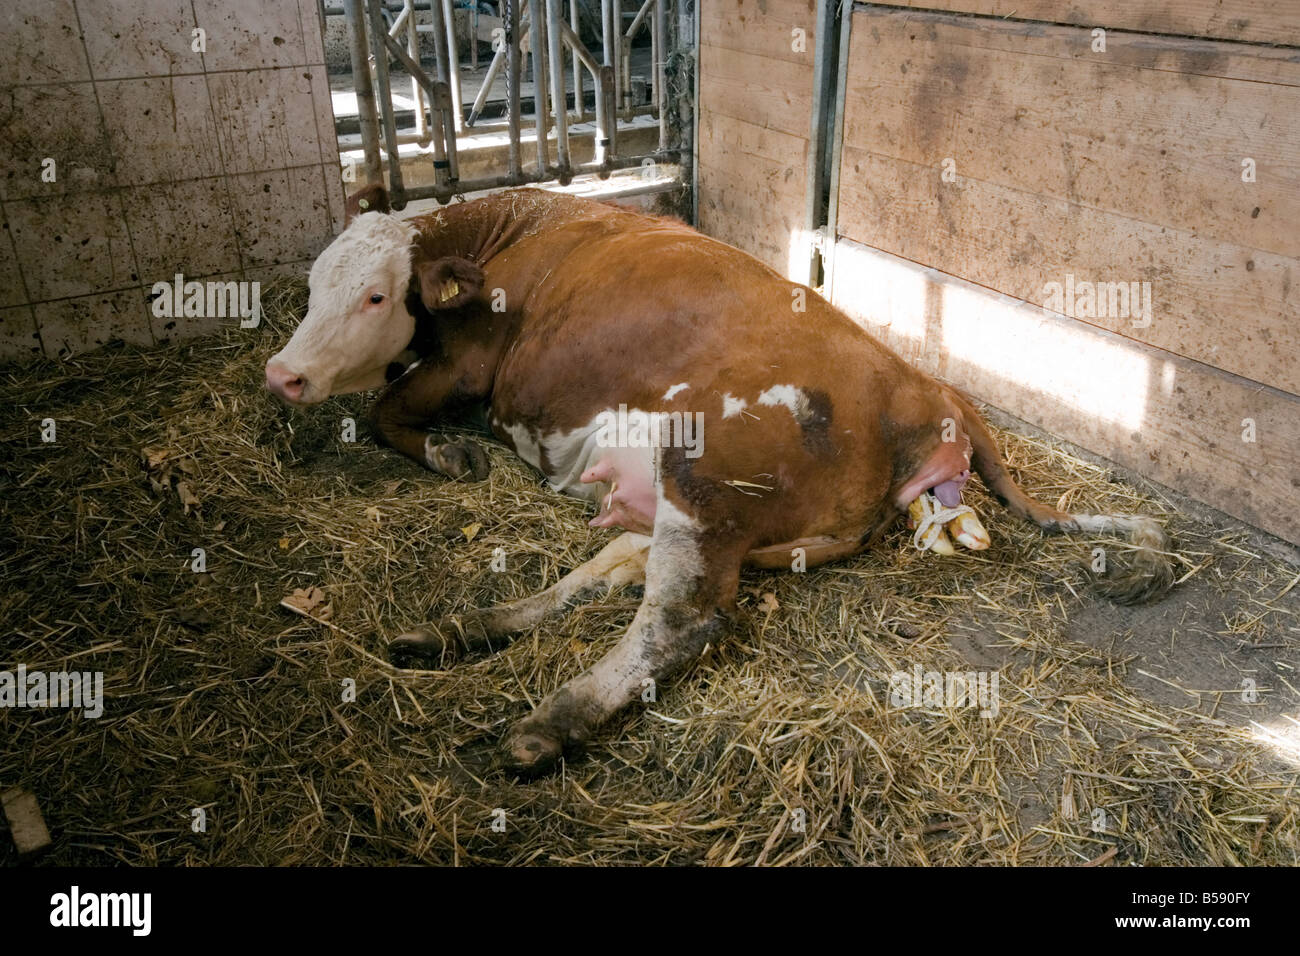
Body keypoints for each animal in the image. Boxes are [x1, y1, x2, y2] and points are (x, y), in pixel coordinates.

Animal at [266, 184, 1180, 780]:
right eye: (312, 286)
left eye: (376, 296)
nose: (283, 376)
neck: (517, 232)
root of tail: (927, 394)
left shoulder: (468, 365)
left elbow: (384, 407)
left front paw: (449, 455)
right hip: (671, 499)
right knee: (608, 574)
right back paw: (459, 630)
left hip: (703, 470)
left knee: (678, 618)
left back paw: (549, 723)